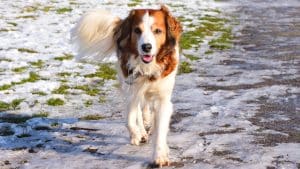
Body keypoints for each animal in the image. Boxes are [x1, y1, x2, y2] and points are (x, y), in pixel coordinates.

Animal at [71, 4, 182, 167]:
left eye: (157, 31)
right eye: (137, 30)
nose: (146, 47)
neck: (147, 67)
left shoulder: (163, 98)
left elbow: (160, 128)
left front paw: (160, 155)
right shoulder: (131, 90)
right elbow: (130, 119)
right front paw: (136, 135)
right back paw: (141, 132)